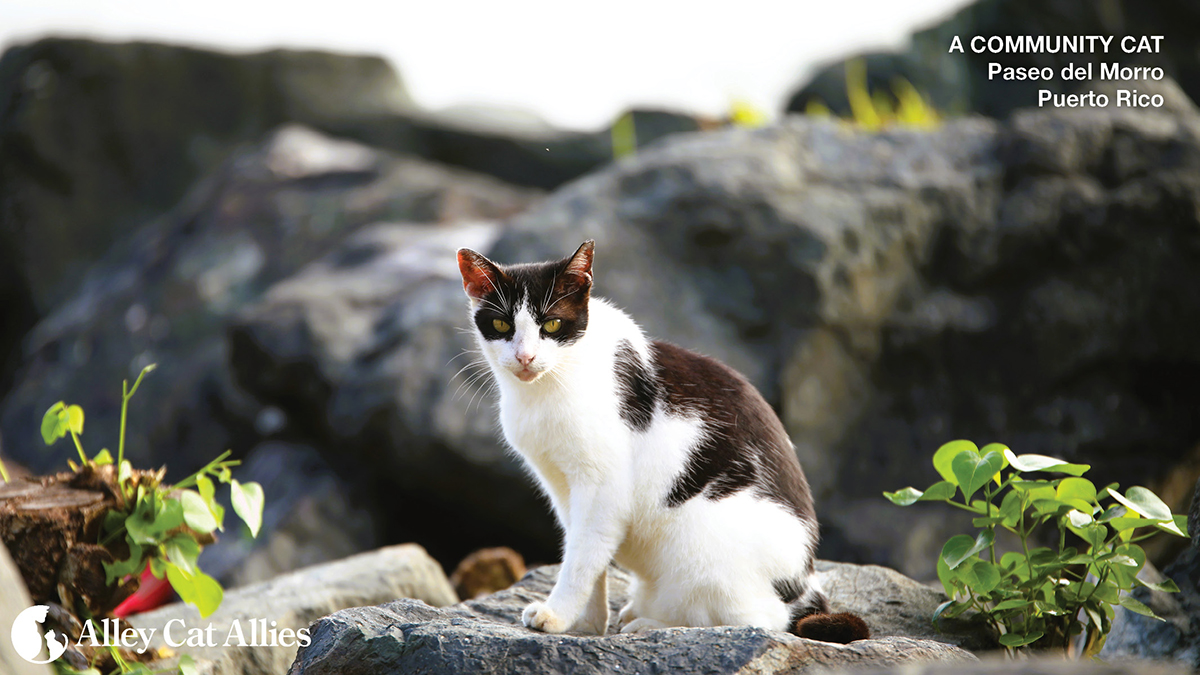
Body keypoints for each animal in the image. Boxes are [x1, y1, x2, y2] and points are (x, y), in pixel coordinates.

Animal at [453, 239, 868, 638]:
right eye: (501, 324)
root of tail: (806, 584)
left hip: (707, 550)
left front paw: (557, 615)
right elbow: (585, 553)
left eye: (553, 325)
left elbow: (582, 558)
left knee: (756, 619)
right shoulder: (561, 485)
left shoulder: (603, 488)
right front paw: (587, 623)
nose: (525, 357)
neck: (548, 387)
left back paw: (654, 623)